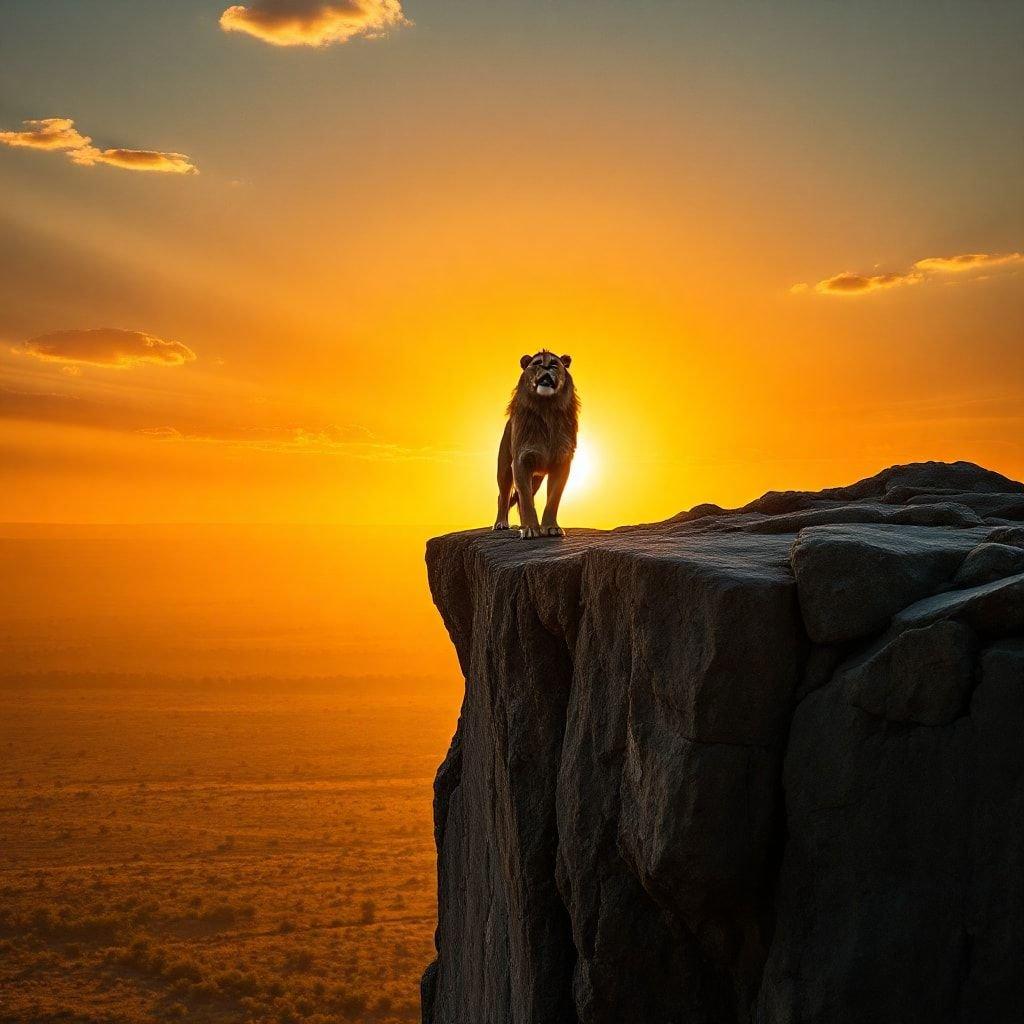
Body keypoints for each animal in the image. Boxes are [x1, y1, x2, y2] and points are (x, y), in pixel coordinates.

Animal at [493, 352, 581, 540]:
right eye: (537, 363)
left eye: (554, 364)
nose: (546, 367)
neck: (546, 407)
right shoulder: (521, 461)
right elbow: (526, 499)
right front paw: (530, 529)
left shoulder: (562, 462)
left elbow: (553, 498)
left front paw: (550, 527)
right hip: (504, 470)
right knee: (503, 496)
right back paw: (501, 523)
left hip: (537, 478)